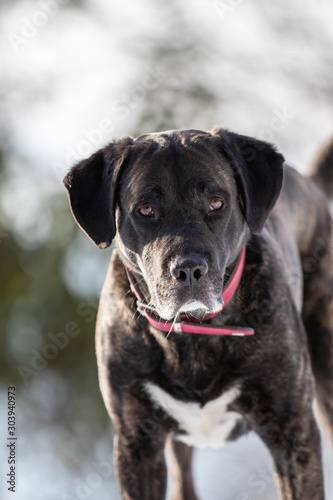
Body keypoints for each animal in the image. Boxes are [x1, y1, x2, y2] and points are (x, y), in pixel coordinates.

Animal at [63, 129, 332, 500]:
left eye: (216, 203)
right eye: (145, 209)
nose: (189, 269)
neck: (195, 337)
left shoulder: (292, 432)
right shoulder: (137, 444)